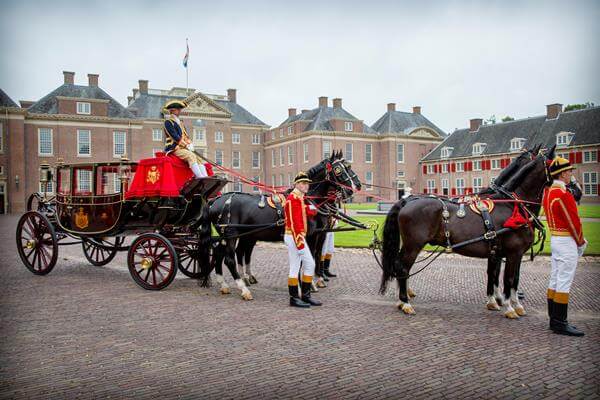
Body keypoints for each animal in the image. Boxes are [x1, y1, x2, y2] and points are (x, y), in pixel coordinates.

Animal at [197, 151, 356, 300]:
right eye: (338, 169)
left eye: (348, 167)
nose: (354, 188)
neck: (306, 201)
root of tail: (216, 200)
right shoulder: (308, 236)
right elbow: (307, 258)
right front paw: (305, 286)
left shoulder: (315, 235)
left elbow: (311, 257)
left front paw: (310, 284)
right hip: (231, 234)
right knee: (229, 259)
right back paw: (243, 289)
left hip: (232, 235)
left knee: (220, 253)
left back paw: (224, 284)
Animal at [380, 145, 552, 318]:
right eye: (555, 162)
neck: (512, 204)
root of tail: (405, 201)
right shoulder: (513, 253)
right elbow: (508, 279)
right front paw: (508, 306)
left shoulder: (500, 252)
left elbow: (501, 276)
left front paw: (500, 302)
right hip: (413, 245)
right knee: (402, 268)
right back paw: (405, 302)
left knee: (400, 266)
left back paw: (403, 300)